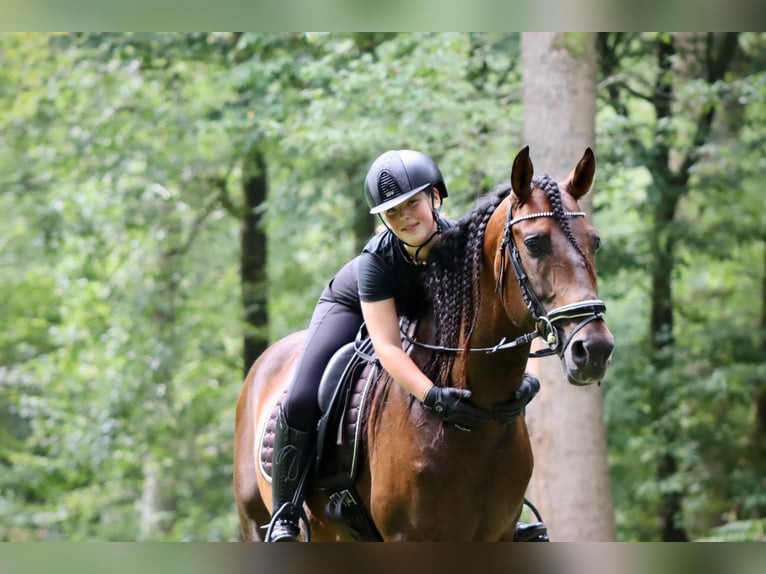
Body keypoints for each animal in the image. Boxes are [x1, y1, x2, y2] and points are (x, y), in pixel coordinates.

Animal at [233, 146, 615, 541]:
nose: (593, 349)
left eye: (595, 241)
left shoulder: (499, 533)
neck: (481, 415)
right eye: (535, 243)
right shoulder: (407, 537)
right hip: (253, 522)